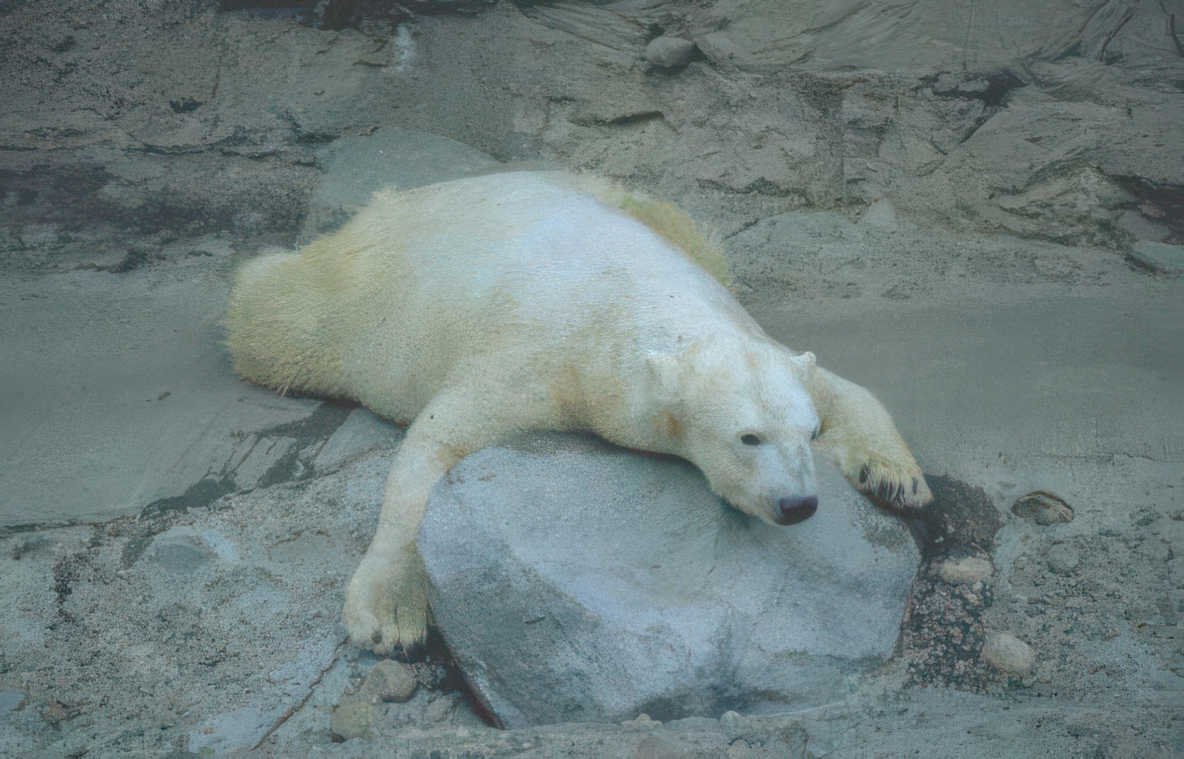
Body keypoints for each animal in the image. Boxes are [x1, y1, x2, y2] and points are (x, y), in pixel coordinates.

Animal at [225, 170, 932, 654]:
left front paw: (898, 477)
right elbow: (437, 443)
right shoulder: (537, 356)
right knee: (281, 320)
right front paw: (390, 618)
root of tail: (405, 196)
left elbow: (841, 387)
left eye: (805, 436)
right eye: (747, 438)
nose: (799, 505)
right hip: (357, 299)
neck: (628, 300)